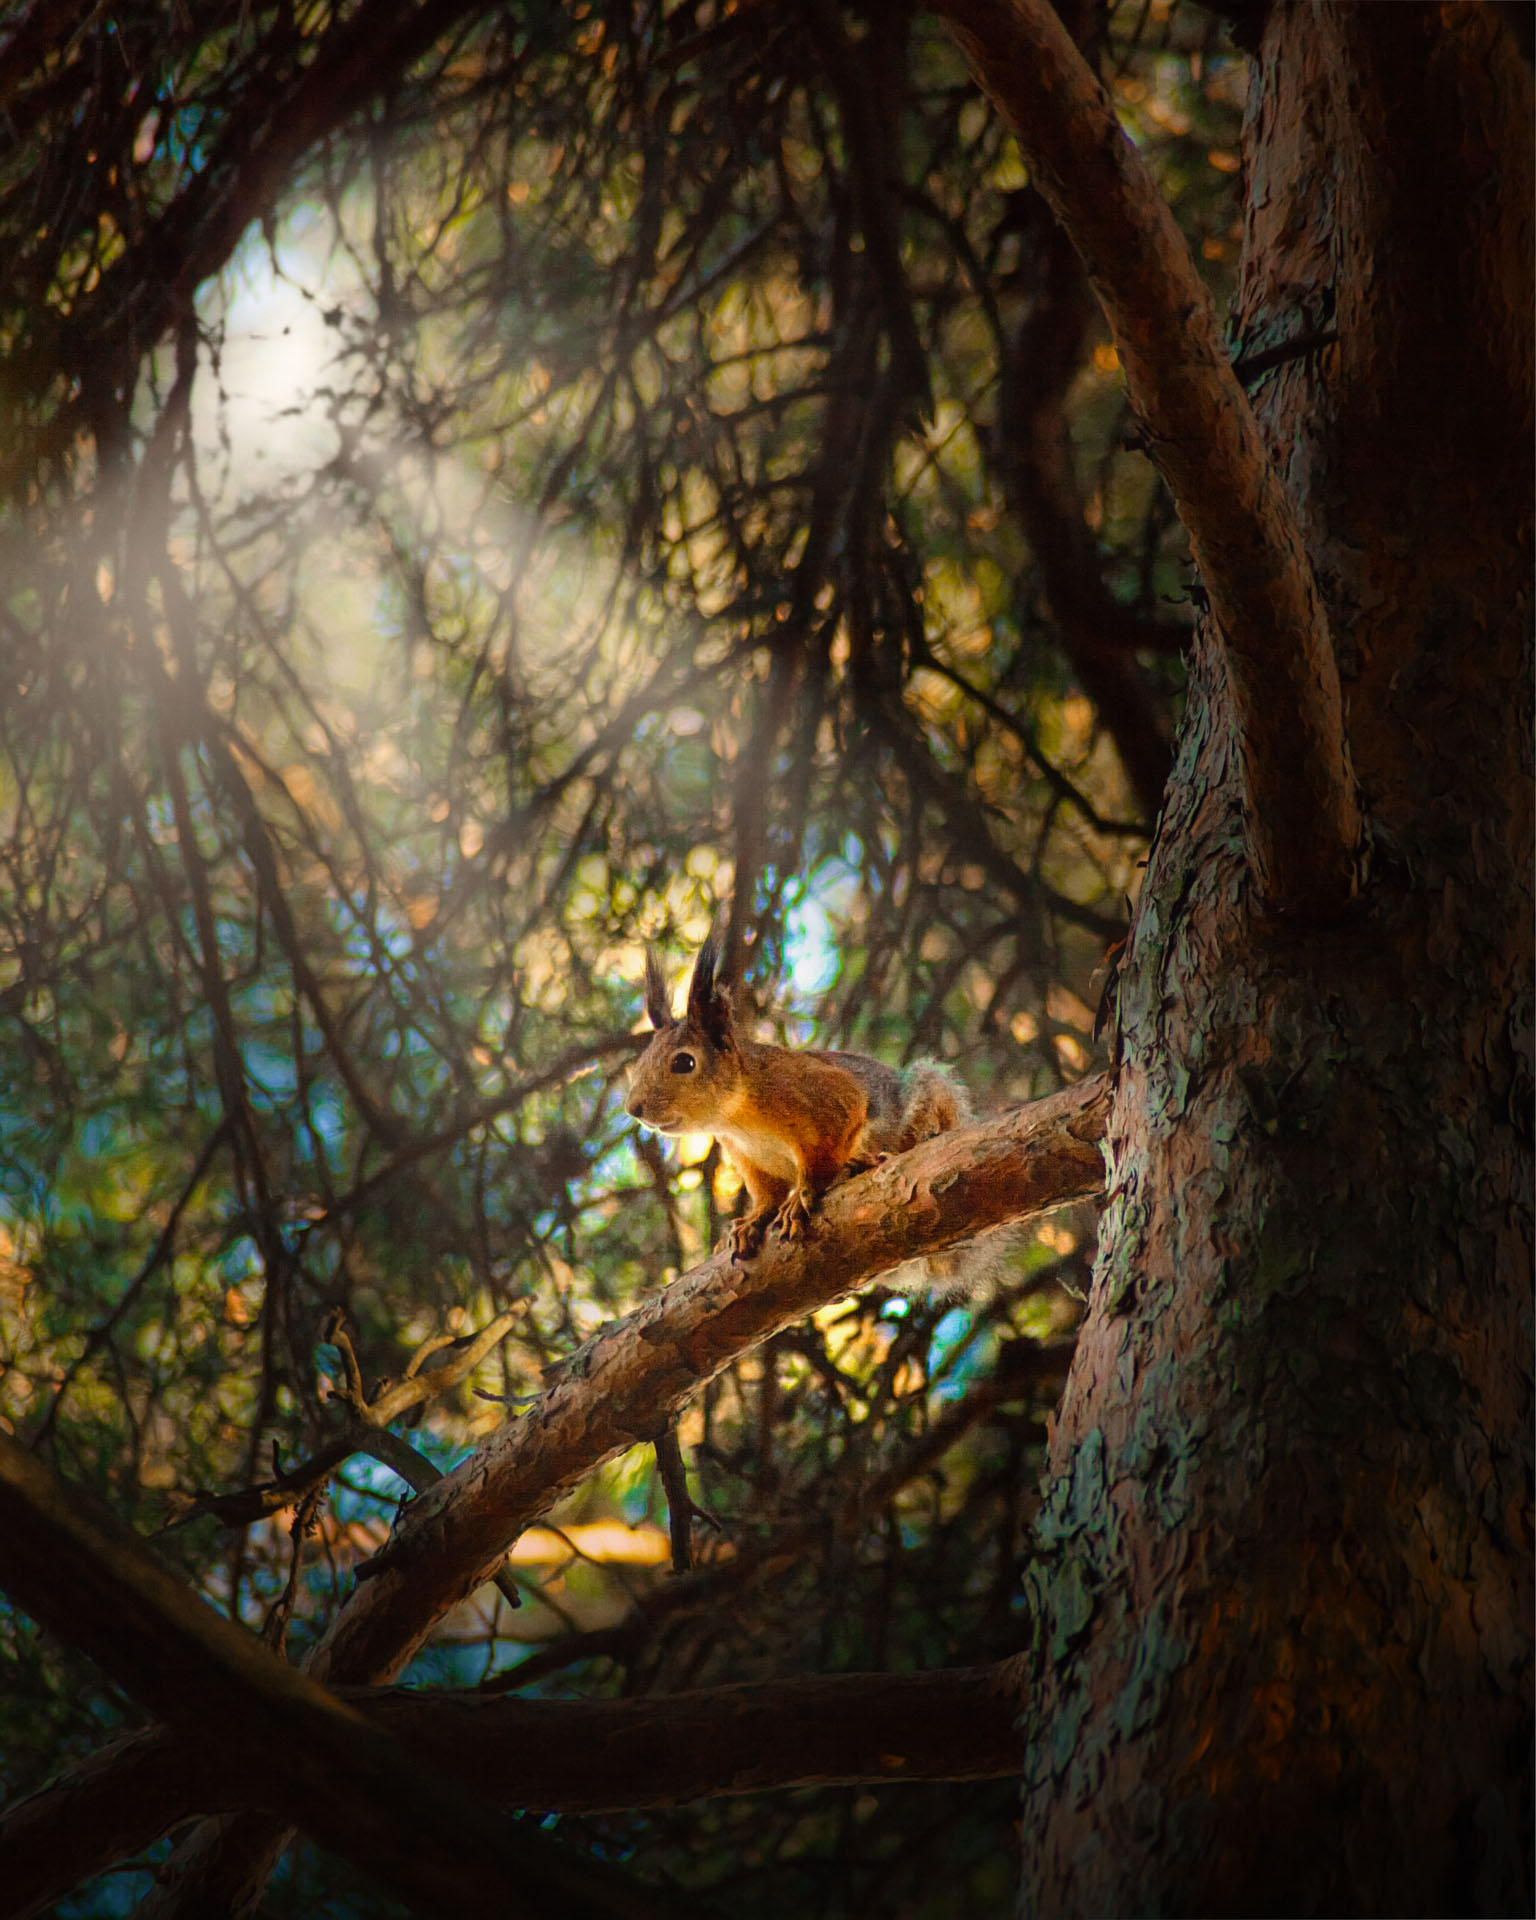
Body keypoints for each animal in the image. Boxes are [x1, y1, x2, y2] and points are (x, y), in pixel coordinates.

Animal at [625, 929, 969, 1260]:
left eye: (684, 1062)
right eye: (641, 1061)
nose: (633, 1108)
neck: (736, 1116)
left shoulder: (820, 1094)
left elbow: (827, 1149)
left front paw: (804, 1196)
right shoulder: (751, 1159)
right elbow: (768, 1194)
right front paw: (753, 1220)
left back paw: (871, 1158)